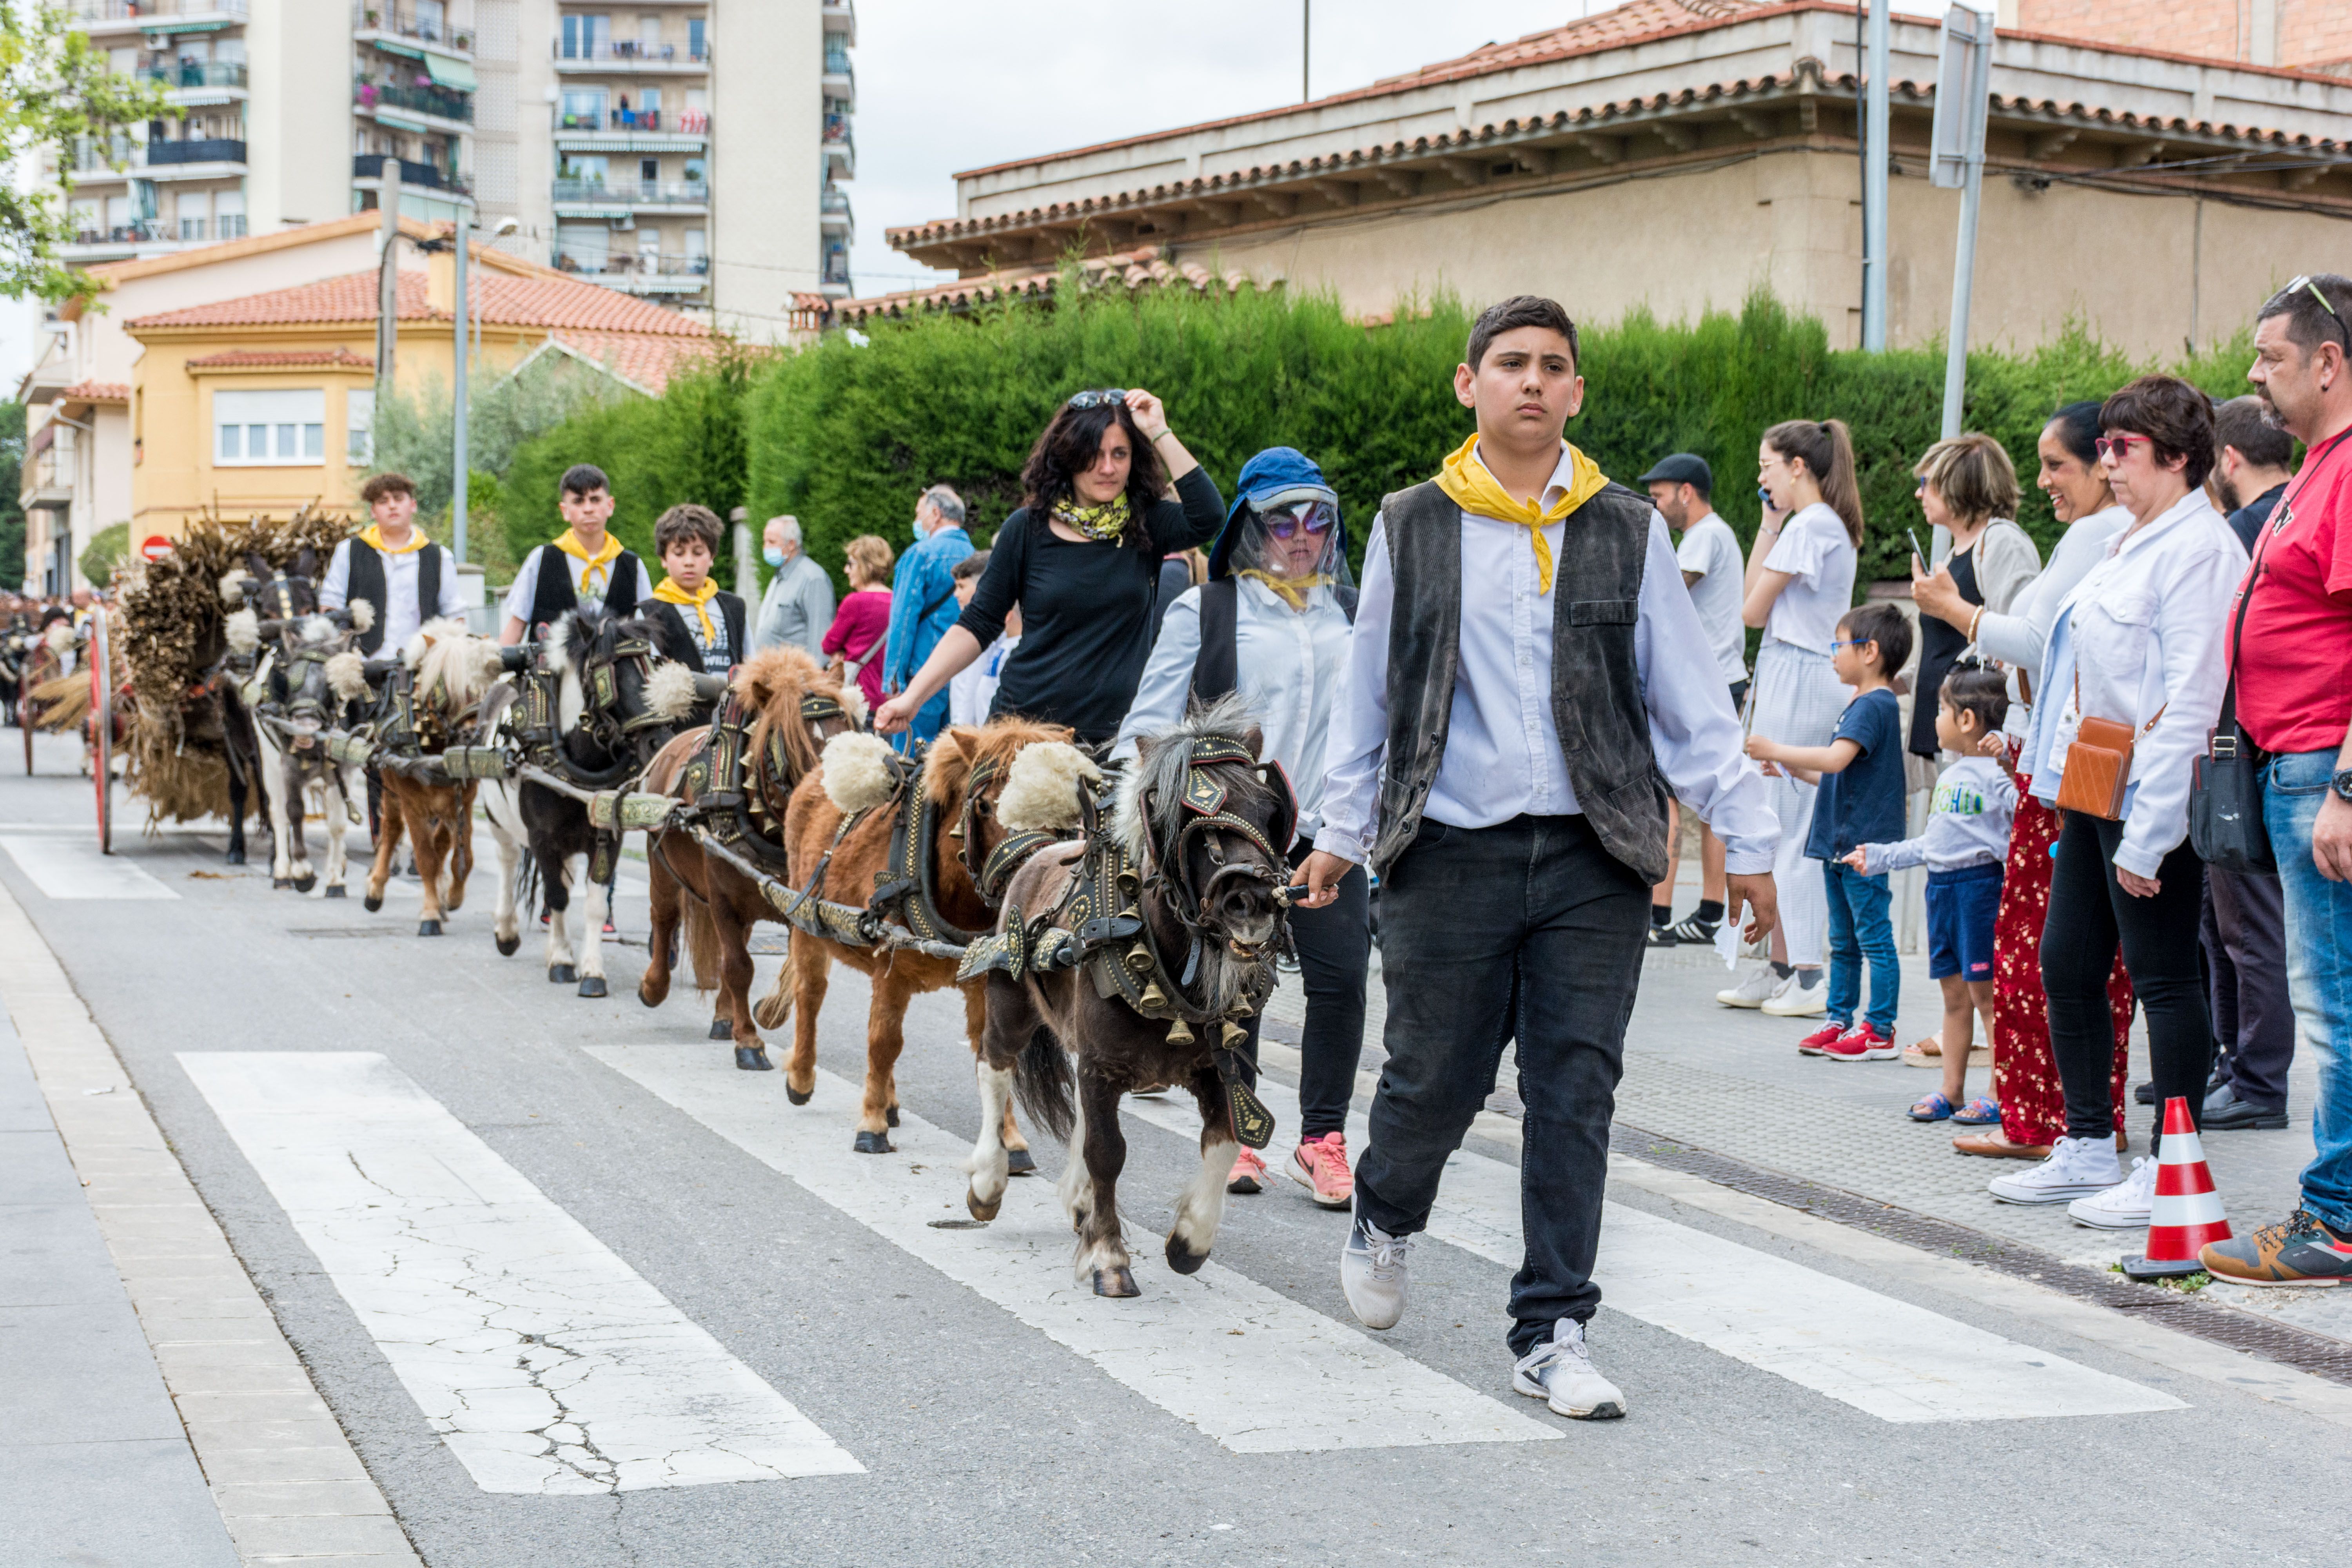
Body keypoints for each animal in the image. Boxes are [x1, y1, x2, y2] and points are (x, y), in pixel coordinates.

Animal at [365, 616, 503, 940]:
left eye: (488, 685)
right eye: (445, 687)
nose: (473, 737)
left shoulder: (463, 799)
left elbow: (457, 855)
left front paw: (450, 898)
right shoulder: (412, 803)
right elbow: (426, 858)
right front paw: (429, 915)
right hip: (391, 788)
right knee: (391, 830)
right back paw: (376, 888)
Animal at [477, 606, 696, 1001]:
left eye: (653, 665)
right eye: (610, 672)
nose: (661, 743)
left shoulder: (608, 835)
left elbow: (593, 903)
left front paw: (592, 971)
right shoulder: (542, 839)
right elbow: (558, 897)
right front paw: (563, 963)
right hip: (497, 819)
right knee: (508, 860)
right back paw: (507, 931)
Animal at [640, 649, 861, 1067]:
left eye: (849, 732)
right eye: (792, 746)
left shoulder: (800, 903)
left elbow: (796, 968)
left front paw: (767, 1014)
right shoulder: (723, 899)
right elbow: (739, 967)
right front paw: (749, 1042)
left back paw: (725, 1016)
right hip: (661, 862)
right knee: (665, 918)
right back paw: (654, 986)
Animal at [776, 719, 1096, 1161]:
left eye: (1068, 814)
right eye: (985, 807)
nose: (1030, 877)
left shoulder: (983, 977)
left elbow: (993, 1052)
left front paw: (1009, 1140)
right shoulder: (891, 968)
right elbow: (884, 1042)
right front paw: (871, 1124)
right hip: (807, 921)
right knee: (811, 994)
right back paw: (803, 1077)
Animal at [969, 701, 1298, 1298]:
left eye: (1269, 809)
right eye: (1180, 817)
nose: (1254, 902)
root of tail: (1036, 852)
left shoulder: (1223, 1068)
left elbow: (1224, 1140)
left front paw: (1189, 1241)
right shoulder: (1102, 1067)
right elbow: (1108, 1152)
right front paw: (1107, 1256)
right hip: (1010, 1001)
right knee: (995, 1068)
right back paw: (987, 1181)